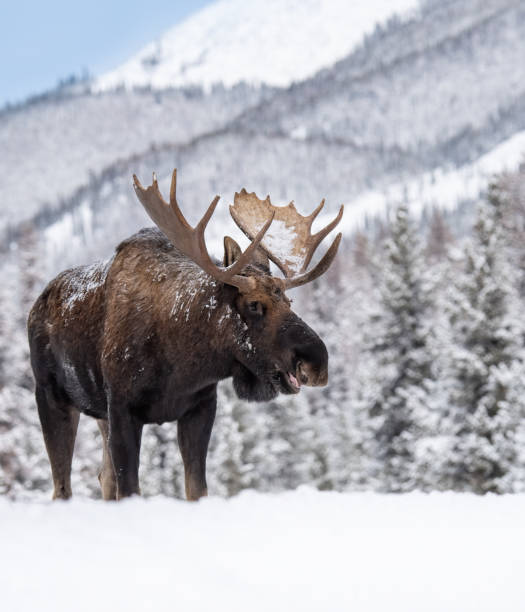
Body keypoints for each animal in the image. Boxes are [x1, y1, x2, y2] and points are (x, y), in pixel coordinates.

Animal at [26, 170, 342, 500]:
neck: (181, 364)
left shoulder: (200, 408)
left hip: (100, 415)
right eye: (255, 304)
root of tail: (36, 307)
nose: (317, 362)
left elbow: (196, 489)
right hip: (50, 395)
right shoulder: (123, 409)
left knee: (104, 477)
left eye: (289, 301)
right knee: (62, 486)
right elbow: (131, 490)